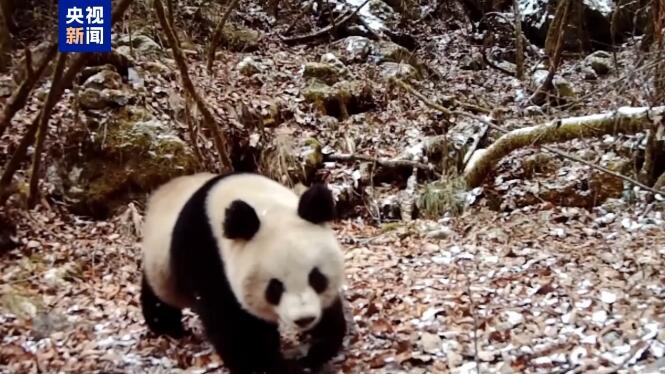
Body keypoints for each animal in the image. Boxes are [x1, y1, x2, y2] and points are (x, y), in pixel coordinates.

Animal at [140, 171, 348, 372]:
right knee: (160, 295)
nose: (304, 319)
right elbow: (235, 326)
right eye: (274, 288)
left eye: (316, 278)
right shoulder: (205, 254)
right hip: (161, 263)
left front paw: (315, 351)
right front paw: (268, 366)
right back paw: (166, 326)